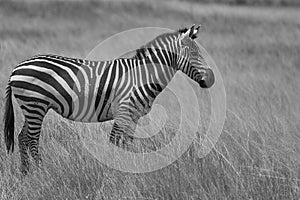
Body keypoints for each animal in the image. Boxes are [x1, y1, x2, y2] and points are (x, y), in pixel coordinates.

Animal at [2, 24, 213, 175]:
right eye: (194, 53)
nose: (211, 79)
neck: (143, 75)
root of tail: (16, 68)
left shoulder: (133, 115)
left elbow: (127, 143)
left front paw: (129, 167)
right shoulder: (124, 111)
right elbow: (115, 142)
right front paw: (115, 171)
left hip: (32, 108)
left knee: (22, 137)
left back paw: (26, 173)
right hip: (35, 105)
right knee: (32, 138)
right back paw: (40, 171)